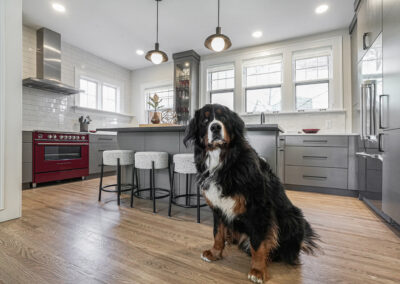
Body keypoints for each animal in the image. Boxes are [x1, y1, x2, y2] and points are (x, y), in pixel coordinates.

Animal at [184, 103, 318, 282]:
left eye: (223, 117)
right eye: (205, 120)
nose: (215, 127)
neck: (224, 162)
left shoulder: (259, 209)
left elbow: (258, 243)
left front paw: (258, 270)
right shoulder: (217, 208)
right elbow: (217, 233)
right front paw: (215, 253)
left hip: (292, 217)